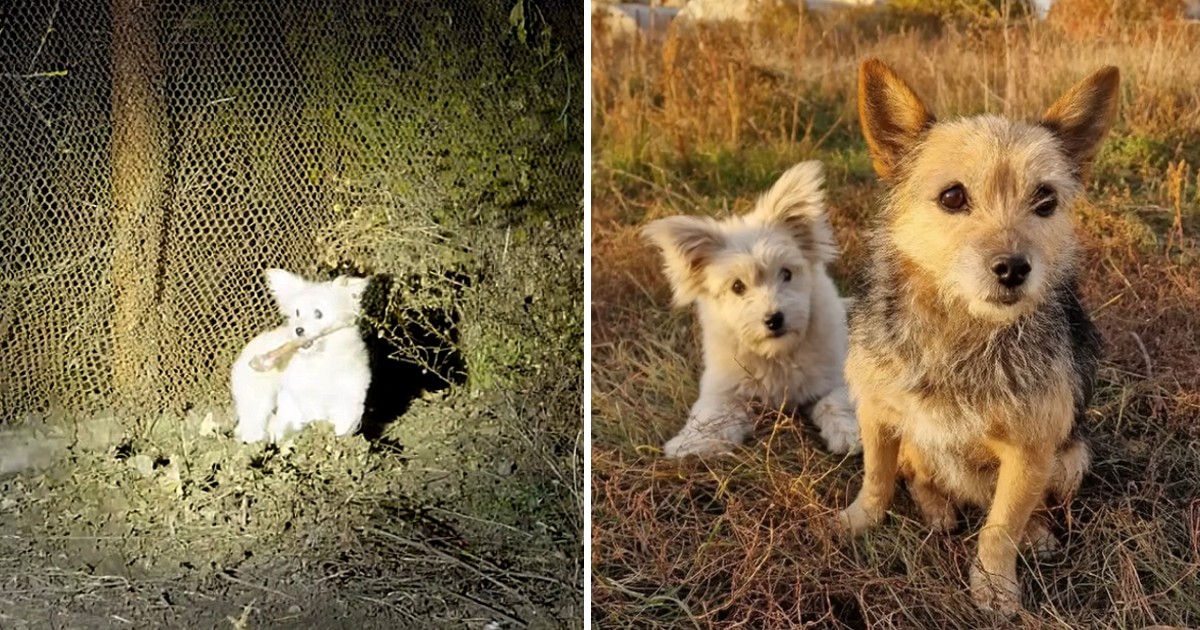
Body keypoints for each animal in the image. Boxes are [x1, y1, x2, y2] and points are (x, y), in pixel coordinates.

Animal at [229, 268, 369, 441]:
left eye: (318, 313)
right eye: (297, 312)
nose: (298, 330)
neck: (319, 358)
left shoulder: (349, 394)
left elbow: (344, 421)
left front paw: (337, 438)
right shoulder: (302, 396)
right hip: (256, 395)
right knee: (253, 419)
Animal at [643, 160, 859, 456]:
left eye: (786, 273)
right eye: (737, 286)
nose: (774, 319)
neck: (776, 354)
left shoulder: (836, 374)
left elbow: (836, 402)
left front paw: (849, 434)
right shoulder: (723, 389)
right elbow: (712, 415)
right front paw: (690, 443)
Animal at [840, 60, 1118, 614]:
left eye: (1046, 200)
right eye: (952, 196)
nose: (1013, 268)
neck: (959, 333)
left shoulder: (1031, 452)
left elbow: (1000, 528)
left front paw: (993, 586)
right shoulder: (876, 413)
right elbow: (877, 477)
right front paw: (860, 520)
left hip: (1072, 457)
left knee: (1024, 507)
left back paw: (1035, 531)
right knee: (918, 474)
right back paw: (938, 509)